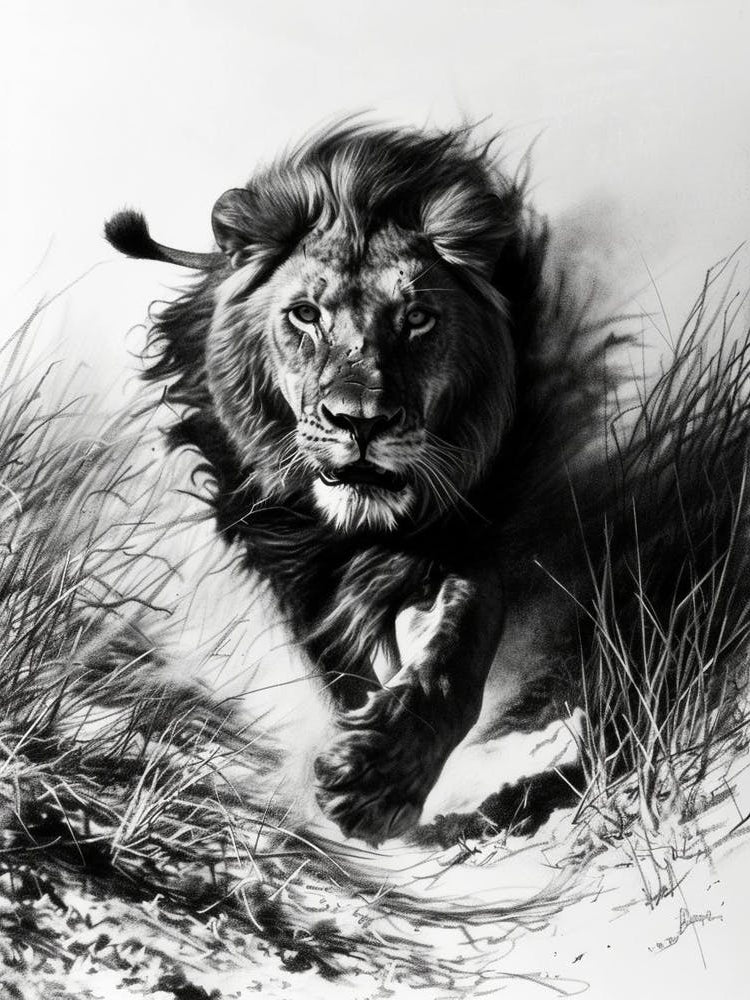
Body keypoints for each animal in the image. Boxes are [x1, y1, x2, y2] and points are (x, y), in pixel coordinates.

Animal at [104, 120, 743, 845]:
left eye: (416, 319)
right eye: (305, 315)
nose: (360, 421)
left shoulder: (459, 538)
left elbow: (456, 654)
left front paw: (378, 782)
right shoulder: (290, 563)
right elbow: (340, 662)